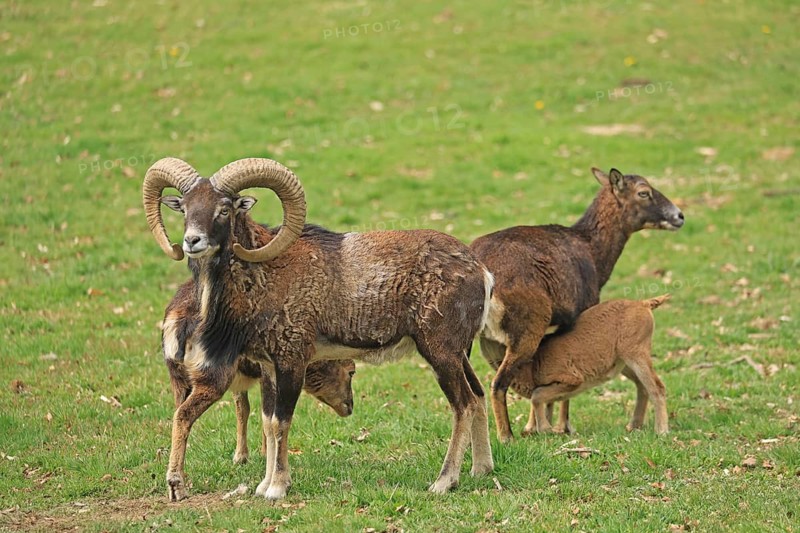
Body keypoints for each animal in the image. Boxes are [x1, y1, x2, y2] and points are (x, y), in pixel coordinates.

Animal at [162, 280, 356, 466]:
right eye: (352, 371)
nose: (350, 406)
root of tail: (175, 323)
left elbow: (243, 409)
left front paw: (241, 456)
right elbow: (266, 413)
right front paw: (264, 454)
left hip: (177, 378)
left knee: (177, 410)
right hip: (212, 375)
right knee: (183, 414)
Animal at [509, 295, 671, 435]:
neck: (533, 363)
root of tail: (644, 304)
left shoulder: (570, 380)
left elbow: (537, 396)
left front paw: (545, 429)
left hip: (636, 356)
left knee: (657, 387)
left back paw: (661, 430)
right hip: (624, 363)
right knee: (642, 387)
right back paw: (633, 426)